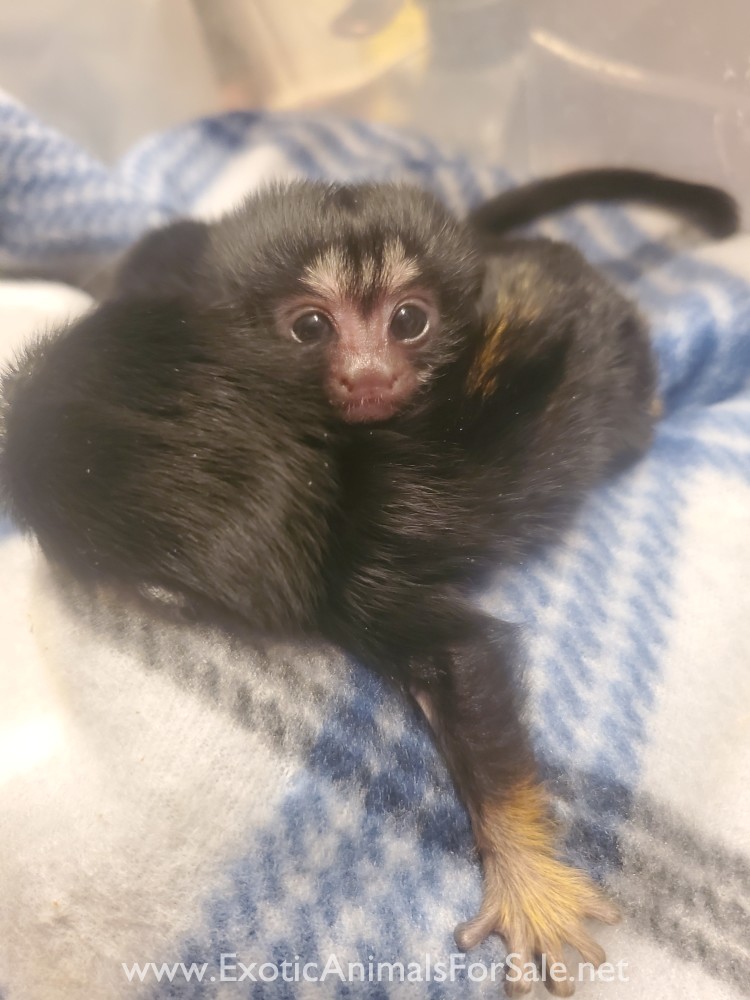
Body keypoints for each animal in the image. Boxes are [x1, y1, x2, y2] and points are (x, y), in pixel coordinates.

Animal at [0, 176, 734, 993]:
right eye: (311, 328)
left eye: (408, 321)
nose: (370, 374)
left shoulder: (353, 583)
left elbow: (461, 658)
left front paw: (525, 876)